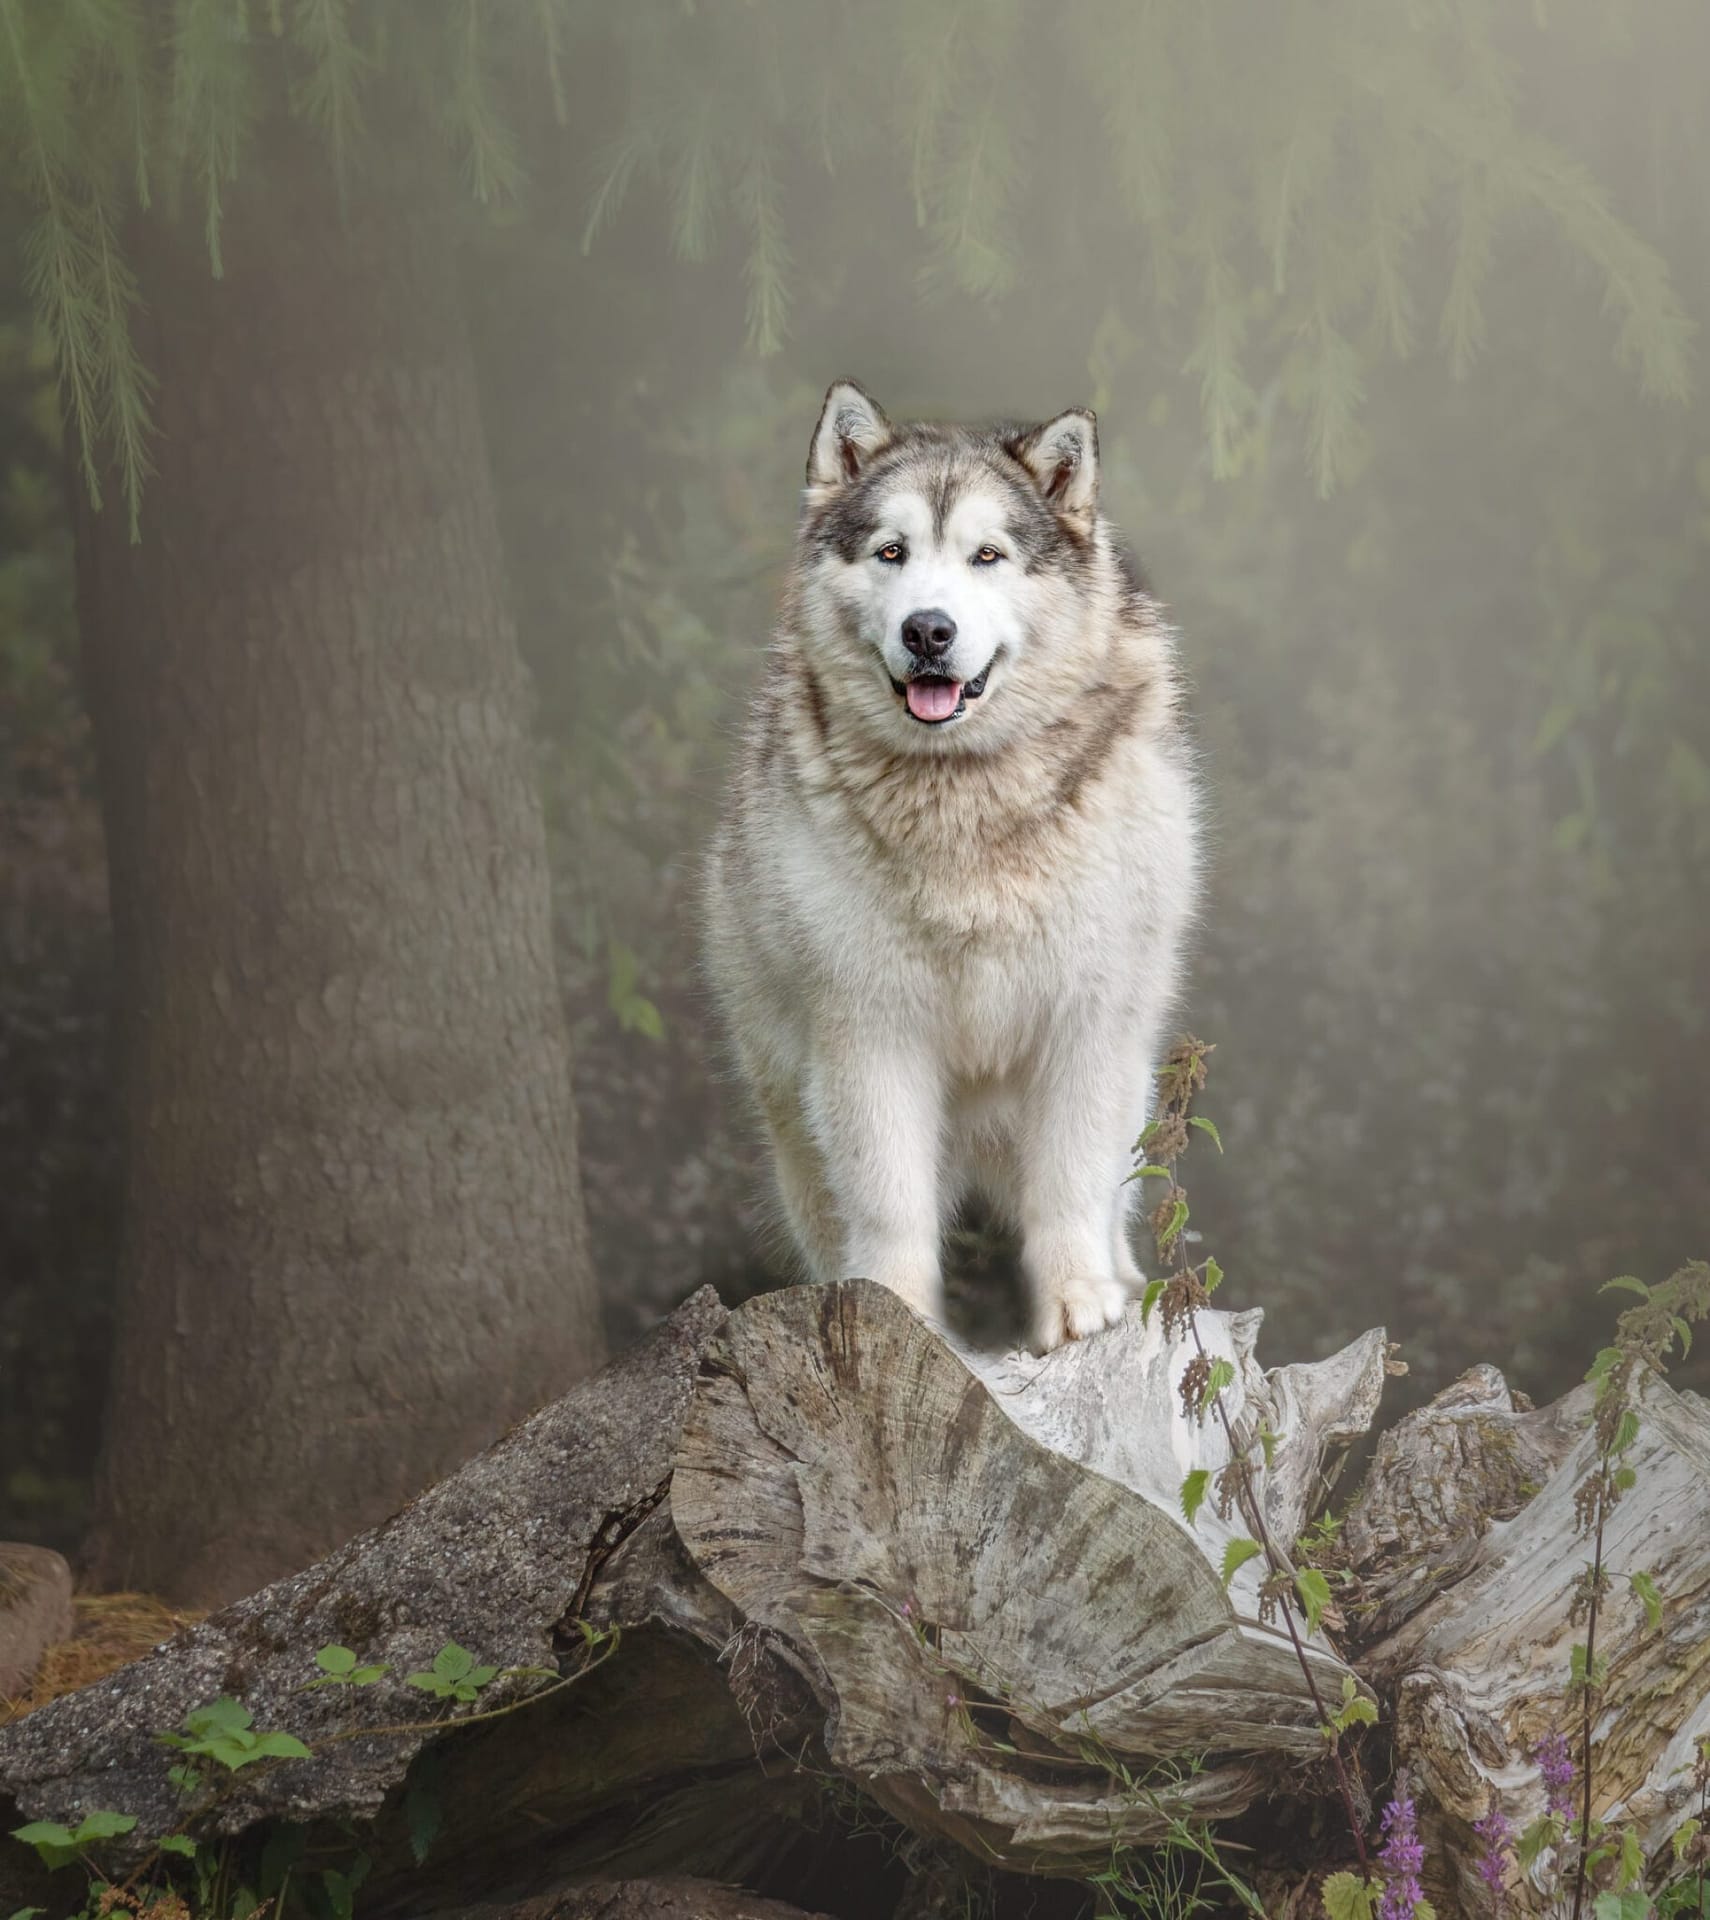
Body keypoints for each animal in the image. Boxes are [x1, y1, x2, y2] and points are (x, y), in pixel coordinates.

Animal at [702, 382, 1197, 1359]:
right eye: (891, 552)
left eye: (987, 556)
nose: (928, 629)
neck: (964, 801)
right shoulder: (871, 1033)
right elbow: (890, 1201)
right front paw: (896, 1311)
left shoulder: (1087, 1025)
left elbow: (1070, 1186)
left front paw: (1079, 1303)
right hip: (794, 1112)